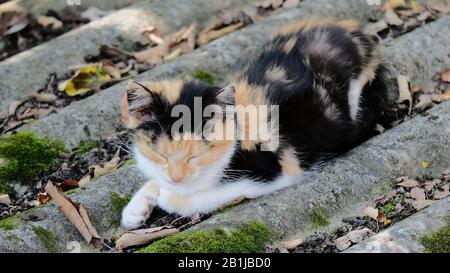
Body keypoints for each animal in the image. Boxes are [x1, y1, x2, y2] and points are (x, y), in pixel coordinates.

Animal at [119, 17, 386, 230]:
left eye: (196, 156)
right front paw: (135, 209)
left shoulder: (274, 171)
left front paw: (167, 196)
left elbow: (201, 195)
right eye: (160, 154)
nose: (176, 178)